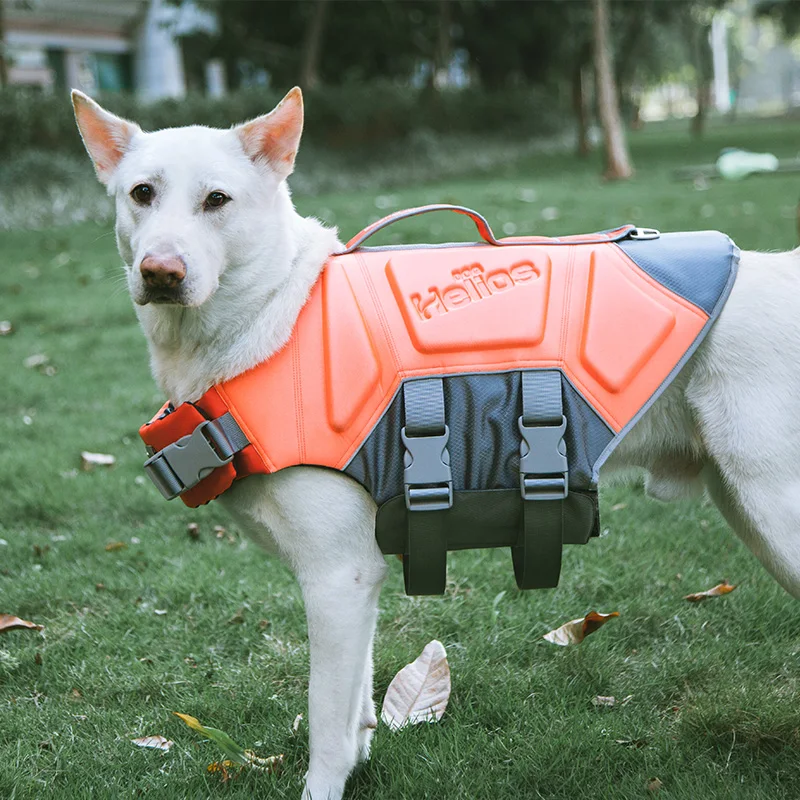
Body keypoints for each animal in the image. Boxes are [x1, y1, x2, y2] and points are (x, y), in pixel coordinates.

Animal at [73, 87, 800, 800]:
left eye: (217, 200)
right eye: (141, 193)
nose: (160, 271)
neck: (275, 308)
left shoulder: (336, 576)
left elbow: (327, 727)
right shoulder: (359, 580)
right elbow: (355, 706)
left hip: (772, 506)